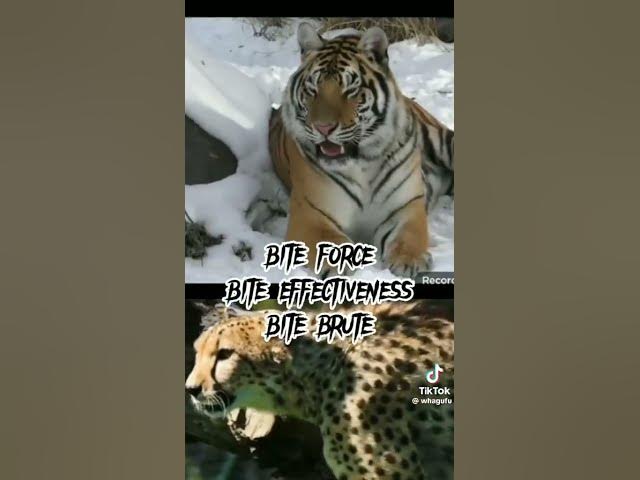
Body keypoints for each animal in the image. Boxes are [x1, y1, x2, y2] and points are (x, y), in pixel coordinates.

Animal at [249, 22, 453, 278]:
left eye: (350, 90)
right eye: (313, 89)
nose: (323, 127)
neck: (363, 161)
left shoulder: (405, 207)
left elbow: (409, 237)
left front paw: (409, 261)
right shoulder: (311, 215)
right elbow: (329, 242)